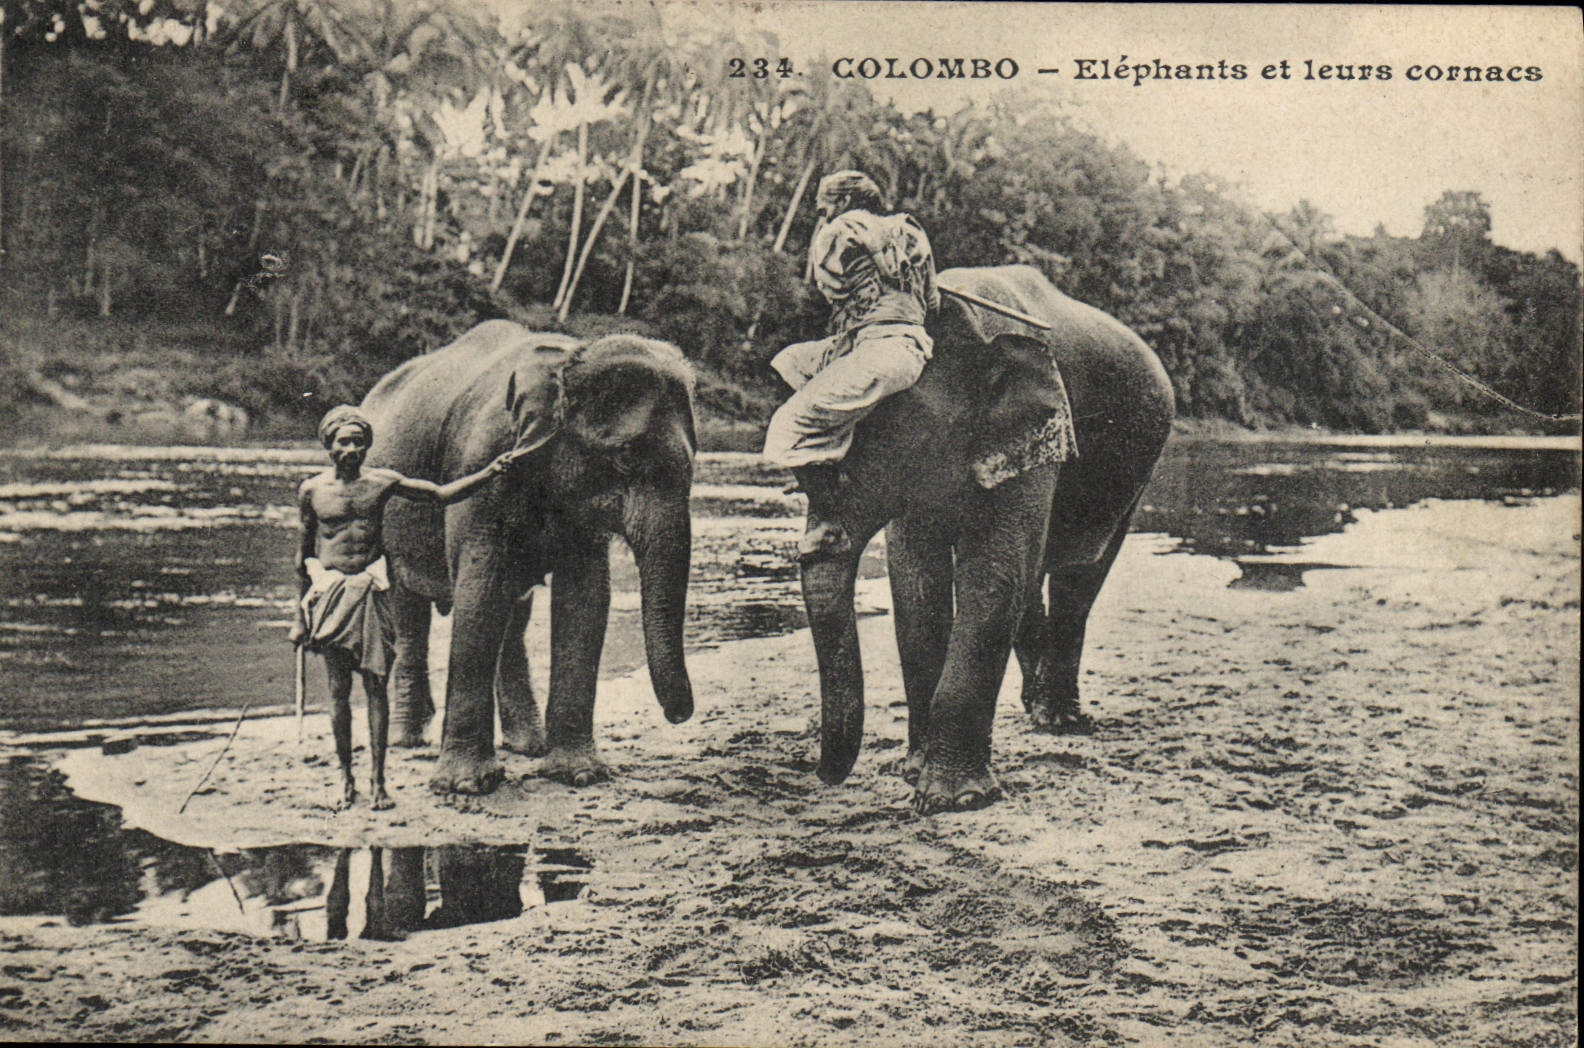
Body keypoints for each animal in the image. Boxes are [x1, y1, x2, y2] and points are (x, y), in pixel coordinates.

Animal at [360, 320, 697, 795]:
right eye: (626, 455)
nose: (679, 716)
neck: (567, 360)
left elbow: (587, 597)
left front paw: (579, 773)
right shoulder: (479, 467)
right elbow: (479, 590)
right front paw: (468, 785)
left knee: (513, 618)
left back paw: (528, 745)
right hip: (391, 518)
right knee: (410, 612)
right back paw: (407, 740)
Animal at [797, 265, 1174, 814]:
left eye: (874, 434)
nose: (825, 777)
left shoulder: (1039, 433)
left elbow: (993, 576)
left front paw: (952, 799)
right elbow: (917, 585)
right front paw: (913, 773)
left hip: (1135, 472)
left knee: (1079, 573)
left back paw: (1058, 719)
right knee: (1035, 577)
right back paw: (1035, 705)